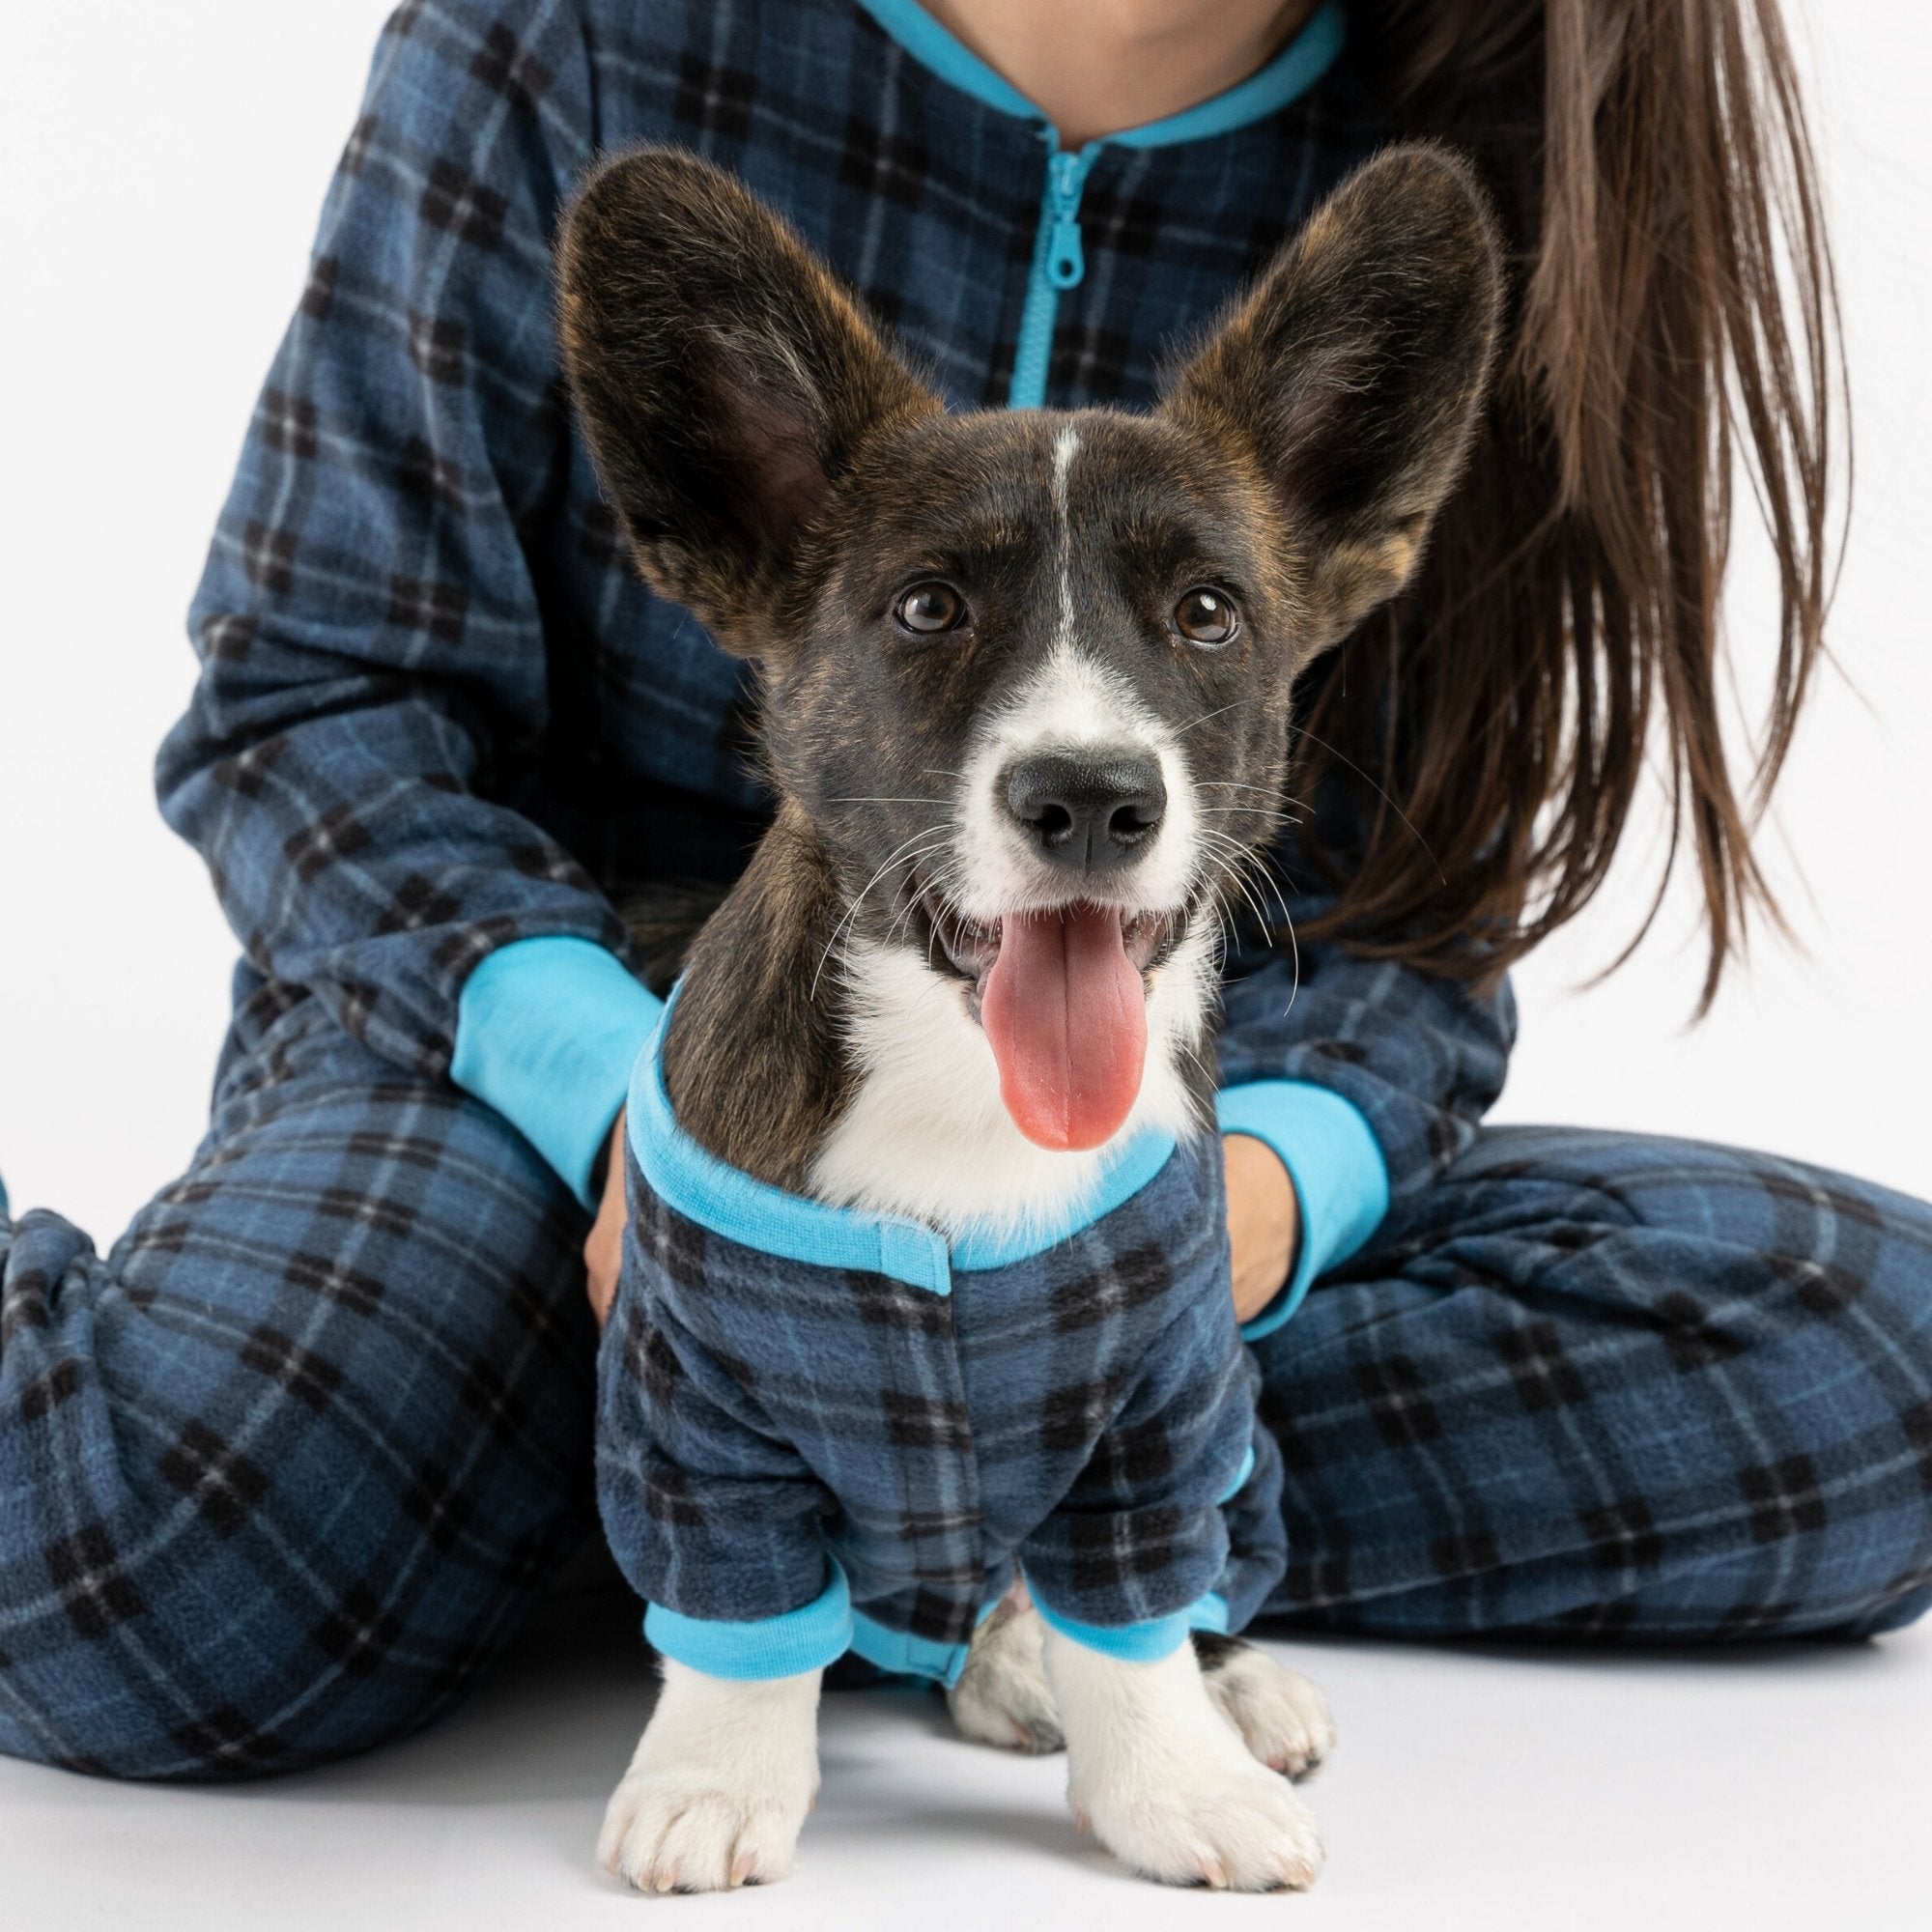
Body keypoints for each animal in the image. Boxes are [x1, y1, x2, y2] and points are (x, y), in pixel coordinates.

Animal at [553, 143, 1499, 1893]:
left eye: (1209, 614)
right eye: (929, 609)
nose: (1090, 798)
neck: (969, 1097)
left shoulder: (1159, 1410)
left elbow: (1135, 1616)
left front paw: (1179, 1782)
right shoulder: (693, 1413)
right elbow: (742, 1630)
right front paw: (716, 1779)